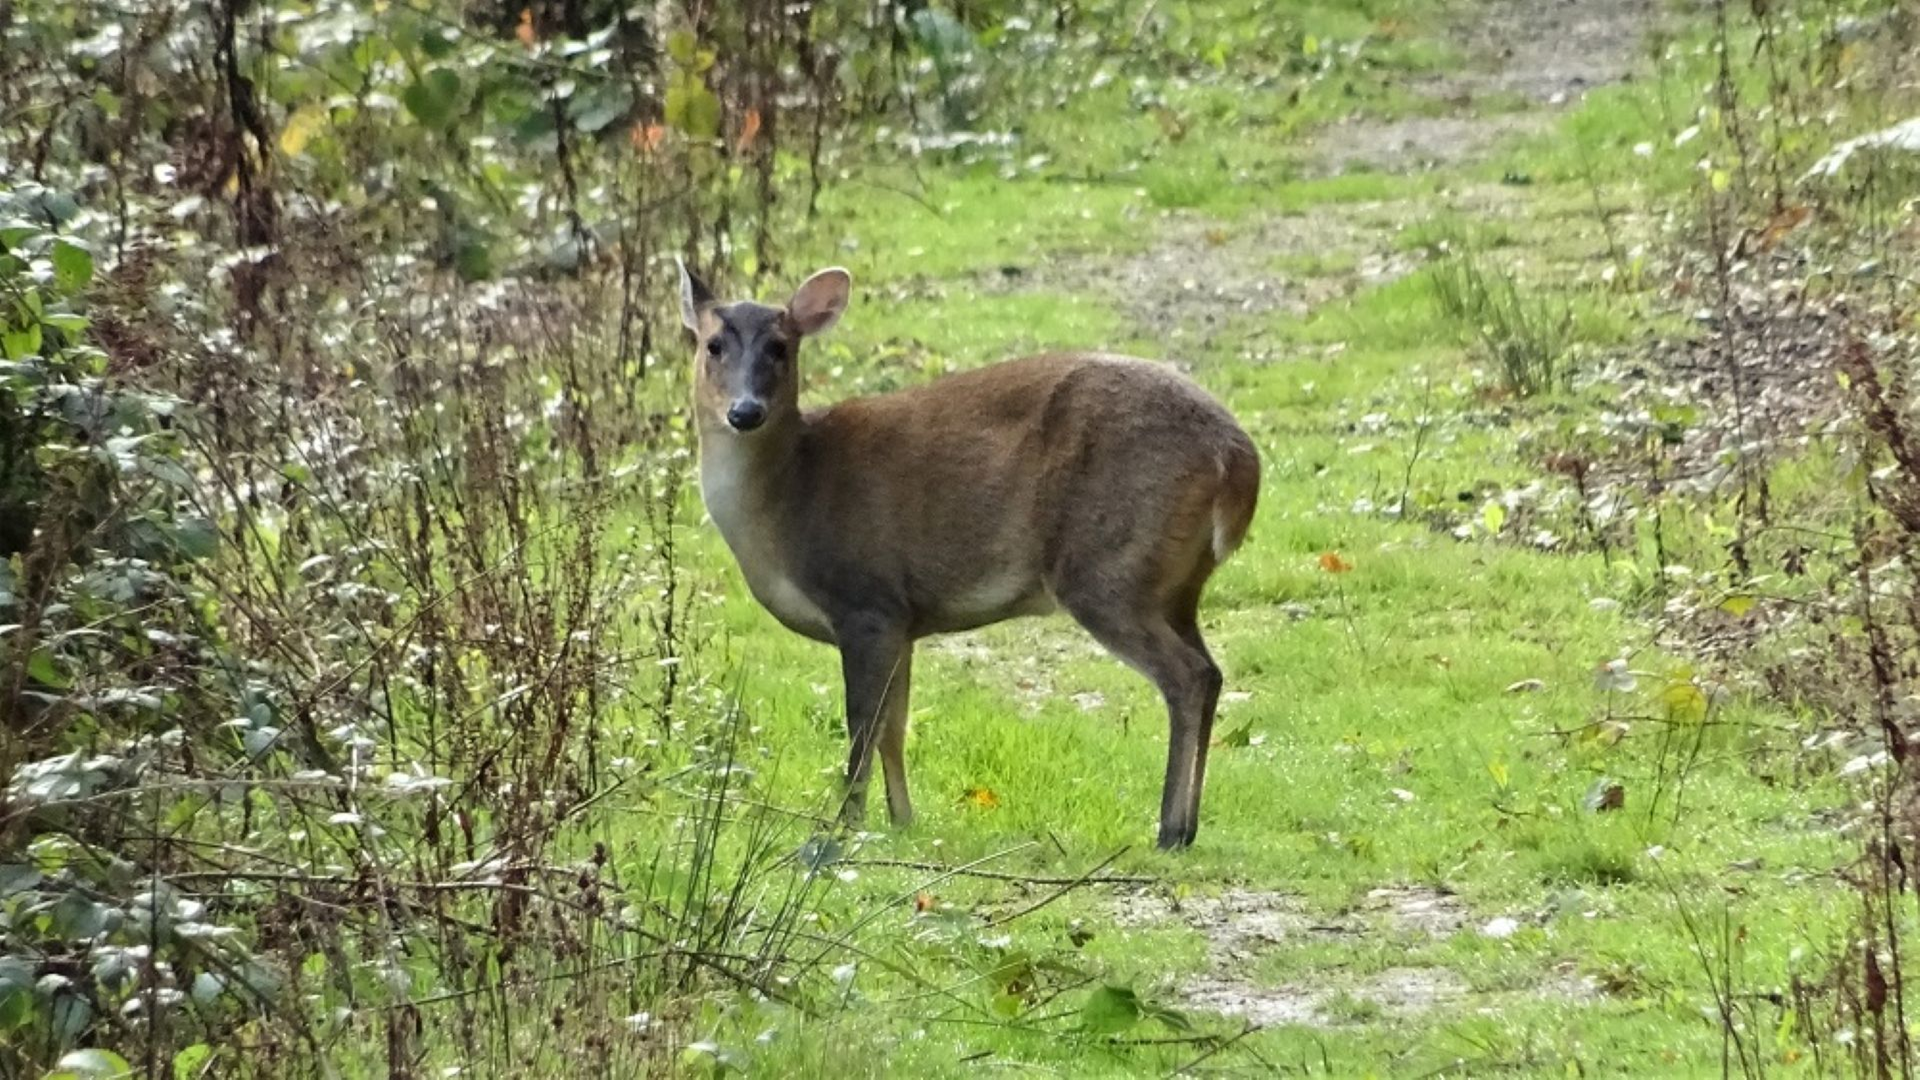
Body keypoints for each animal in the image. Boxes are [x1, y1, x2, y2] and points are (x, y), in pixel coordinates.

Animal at [677, 260, 1260, 849]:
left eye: (780, 347)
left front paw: (846, 824)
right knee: (1212, 672)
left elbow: (863, 723)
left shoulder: (866, 600)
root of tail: (1238, 460)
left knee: (1188, 676)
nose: (745, 411)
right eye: (712, 345)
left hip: (1108, 567)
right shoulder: (903, 620)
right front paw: (902, 820)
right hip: (1175, 583)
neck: (790, 496)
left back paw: (1170, 830)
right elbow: (894, 727)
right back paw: (1187, 826)